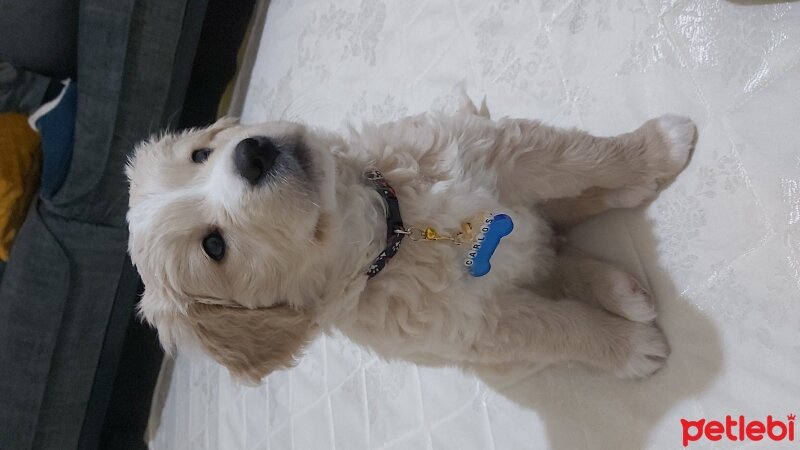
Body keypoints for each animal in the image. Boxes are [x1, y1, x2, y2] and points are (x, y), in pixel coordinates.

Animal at [128, 98, 696, 384]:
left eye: (201, 154)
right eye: (214, 247)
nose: (252, 153)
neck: (394, 227)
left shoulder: (499, 149)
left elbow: (582, 156)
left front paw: (657, 147)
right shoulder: (477, 327)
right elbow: (558, 330)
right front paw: (628, 348)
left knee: (567, 215)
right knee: (555, 265)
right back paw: (623, 294)